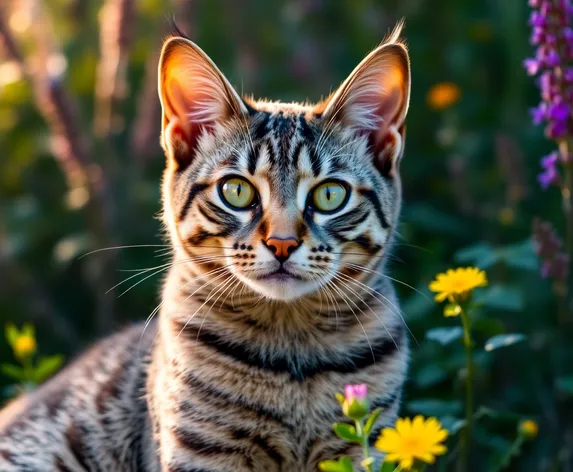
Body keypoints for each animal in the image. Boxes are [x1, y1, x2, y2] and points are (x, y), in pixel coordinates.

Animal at [0, 22, 412, 472]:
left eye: (329, 195)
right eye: (236, 190)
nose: (282, 243)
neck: (292, 353)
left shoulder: (365, 445)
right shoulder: (203, 452)